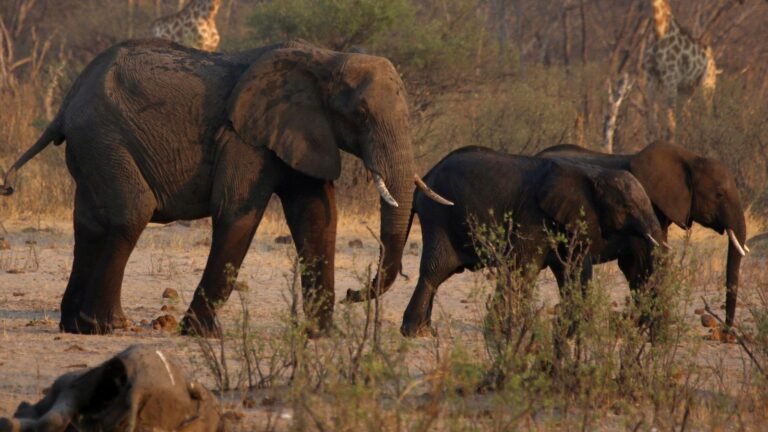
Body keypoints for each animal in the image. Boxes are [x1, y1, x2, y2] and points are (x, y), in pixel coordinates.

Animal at [0, 38, 450, 336]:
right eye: (360, 113)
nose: (356, 293)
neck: (326, 57)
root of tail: (65, 104)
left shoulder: (301, 131)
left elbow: (318, 218)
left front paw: (322, 336)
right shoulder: (243, 137)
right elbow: (237, 214)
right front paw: (200, 334)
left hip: (92, 147)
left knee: (90, 224)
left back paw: (74, 326)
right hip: (104, 138)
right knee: (131, 213)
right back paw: (109, 326)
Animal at [349, 146, 665, 337]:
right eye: (627, 207)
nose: (349, 293)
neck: (592, 173)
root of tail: (424, 177)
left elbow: (572, 270)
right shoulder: (533, 217)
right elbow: (523, 269)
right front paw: (507, 330)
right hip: (439, 214)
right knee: (436, 269)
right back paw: (418, 333)